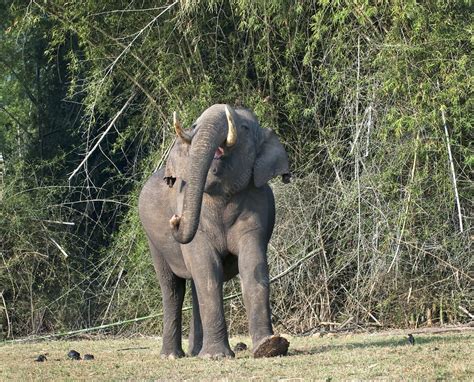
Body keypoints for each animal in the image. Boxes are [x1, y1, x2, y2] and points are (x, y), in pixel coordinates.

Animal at [137, 103, 290, 358]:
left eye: (244, 127)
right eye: (194, 125)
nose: (176, 219)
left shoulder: (256, 207)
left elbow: (251, 264)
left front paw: (269, 347)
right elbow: (208, 268)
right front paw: (217, 356)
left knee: (194, 287)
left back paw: (196, 351)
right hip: (153, 242)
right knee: (172, 289)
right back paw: (172, 355)